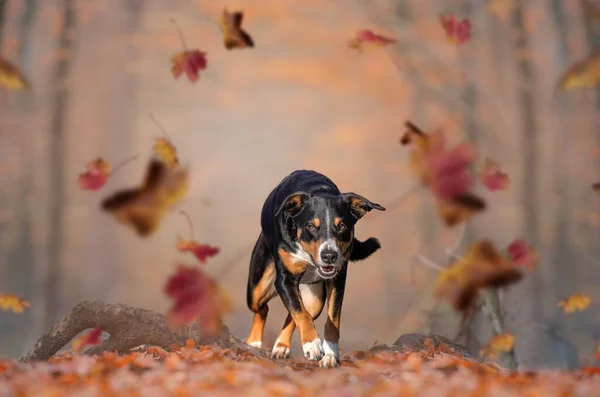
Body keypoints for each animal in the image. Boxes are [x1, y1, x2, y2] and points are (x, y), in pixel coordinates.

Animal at [244, 169, 384, 366]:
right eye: (311, 226)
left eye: (342, 226)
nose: (329, 255)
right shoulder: (285, 279)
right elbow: (299, 312)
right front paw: (312, 345)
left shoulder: (338, 279)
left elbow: (329, 319)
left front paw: (330, 354)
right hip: (257, 288)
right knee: (263, 308)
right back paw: (254, 343)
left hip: (315, 298)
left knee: (298, 313)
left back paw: (281, 346)